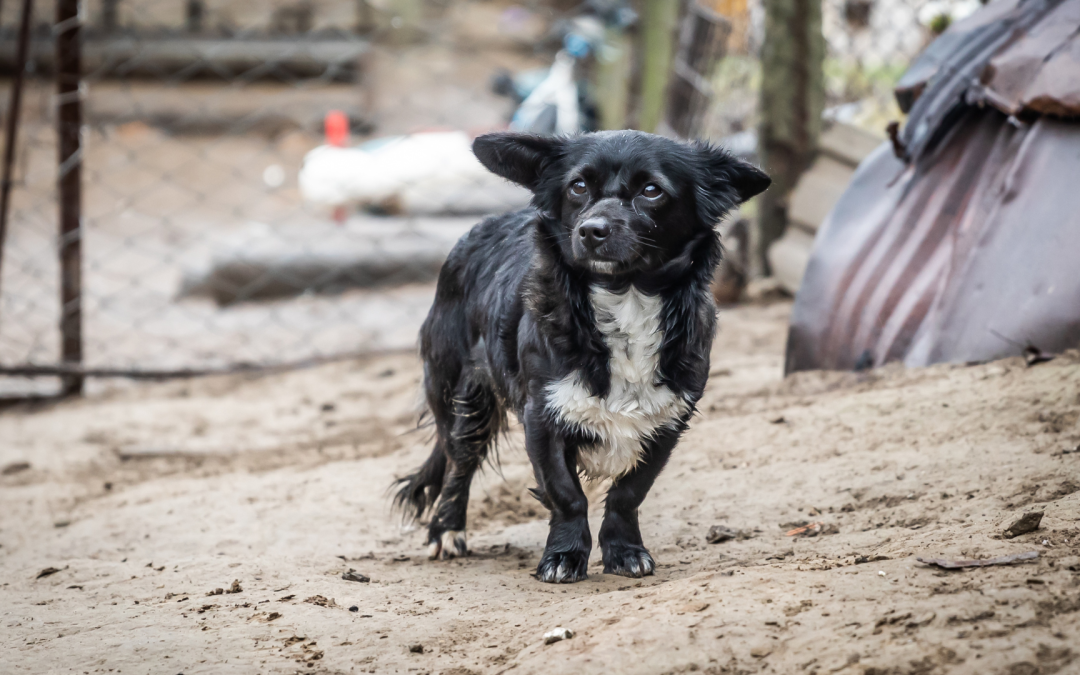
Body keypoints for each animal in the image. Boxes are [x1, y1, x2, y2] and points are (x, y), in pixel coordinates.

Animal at [395, 130, 768, 578]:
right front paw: (564, 556)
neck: (625, 297)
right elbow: (566, 494)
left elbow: (628, 494)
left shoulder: (667, 421)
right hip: (465, 400)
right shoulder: (543, 417)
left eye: (651, 190)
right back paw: (447, 530)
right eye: (577, 186)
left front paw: (624, 550)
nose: (592, 230)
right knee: (458, 464)